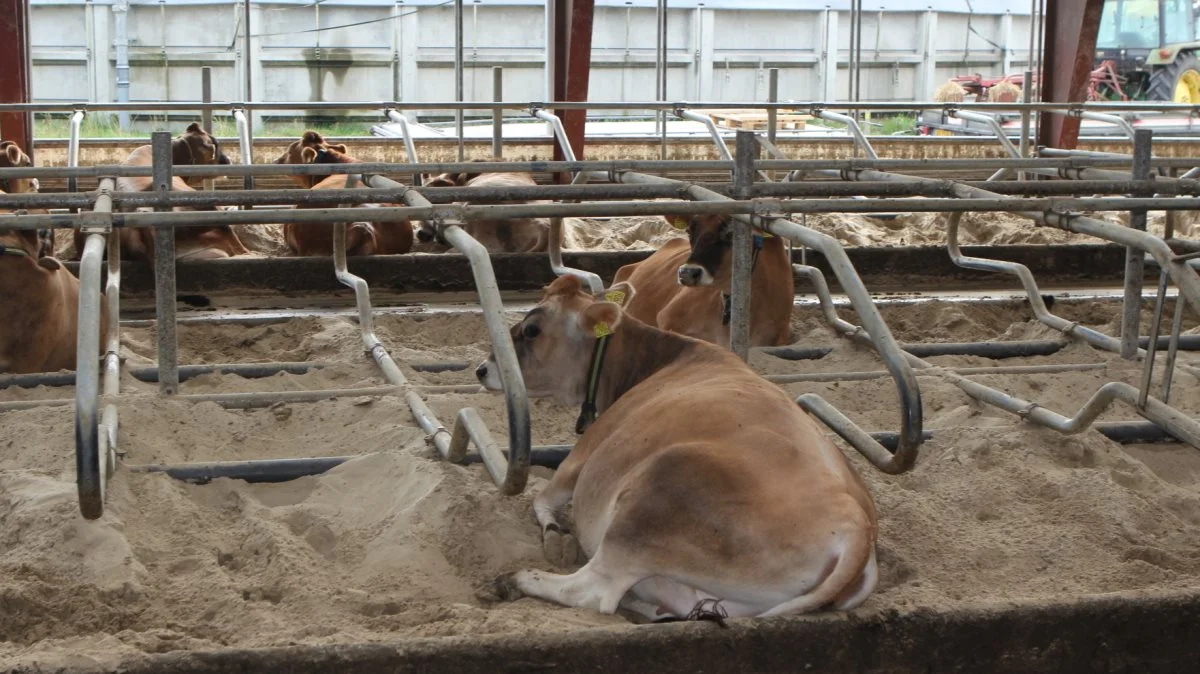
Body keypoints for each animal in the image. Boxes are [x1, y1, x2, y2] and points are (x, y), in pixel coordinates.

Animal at [472, 273, 878, 618]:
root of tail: (857, 528)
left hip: (656, 493)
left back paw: (516, 579)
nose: (481, 369)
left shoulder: (583, 455)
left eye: (532, 330)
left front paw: (556, 534)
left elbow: (540, 498)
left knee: (594, 590)